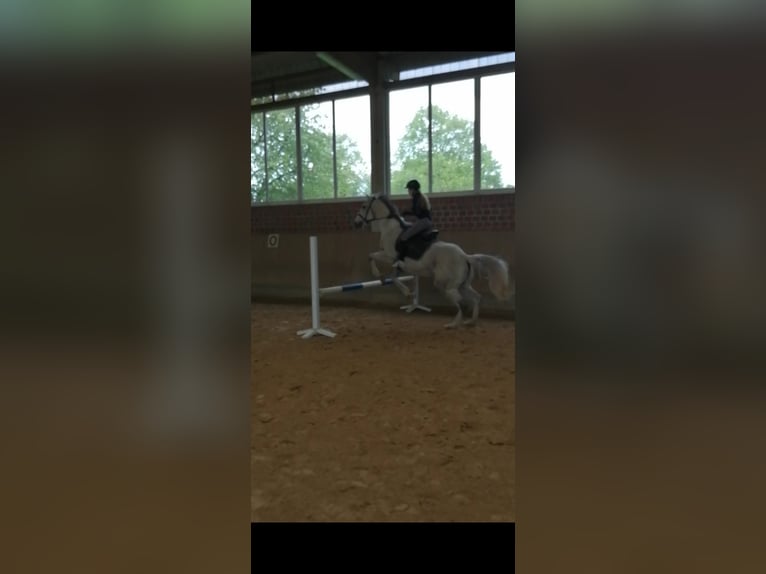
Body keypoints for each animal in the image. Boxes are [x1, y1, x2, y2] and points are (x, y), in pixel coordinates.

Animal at [352, 192, 513, 328]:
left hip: (446, 284)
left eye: (364, 206)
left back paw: (453, 324)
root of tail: (464, 256)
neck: (390, 228)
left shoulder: (390, 256)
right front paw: (392, 284)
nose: (356, 223)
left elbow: (372, 257)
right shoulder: (396, 262)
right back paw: (470, 322)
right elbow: (391, 274)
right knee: (476, 298)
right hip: (462, 285)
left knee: (461, 302)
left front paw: (400, 288)